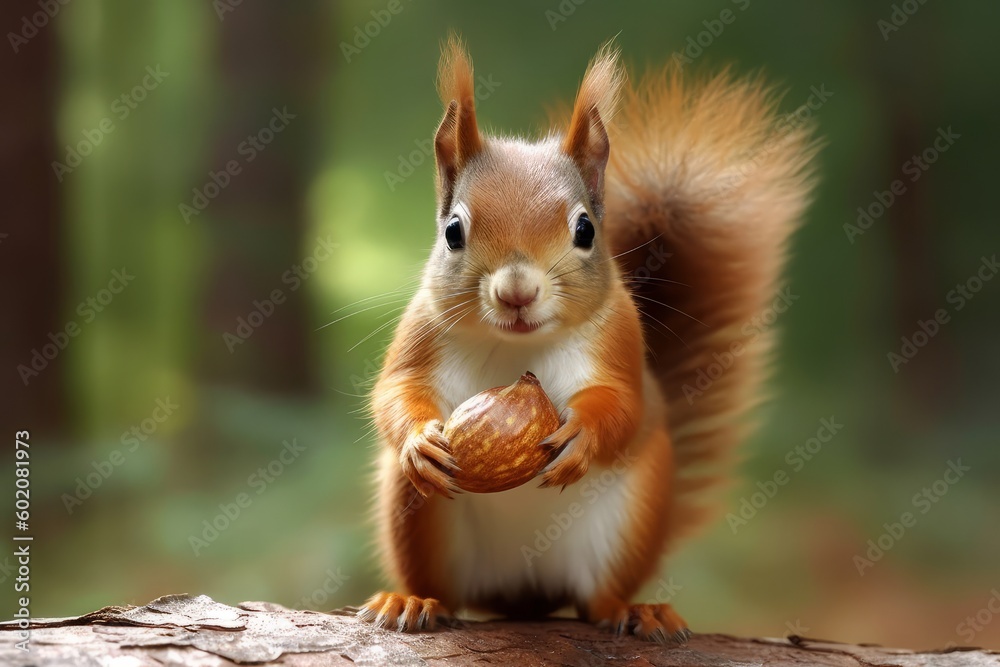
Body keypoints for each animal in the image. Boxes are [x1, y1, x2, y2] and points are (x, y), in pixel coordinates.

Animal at [357, 36, 817, 642]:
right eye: (453, 231)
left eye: (585, 230)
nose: (517, 292)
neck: (518, 348)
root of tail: (521, 594)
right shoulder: (421, 332)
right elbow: (395, 390)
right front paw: (418, 441)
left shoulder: (619, 337)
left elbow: (622, 402)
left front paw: (583, 434)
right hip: (418, 515)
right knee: (443, 585)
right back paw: (412, 600)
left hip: (634, 512)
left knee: (596, 598)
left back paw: (634, 610)